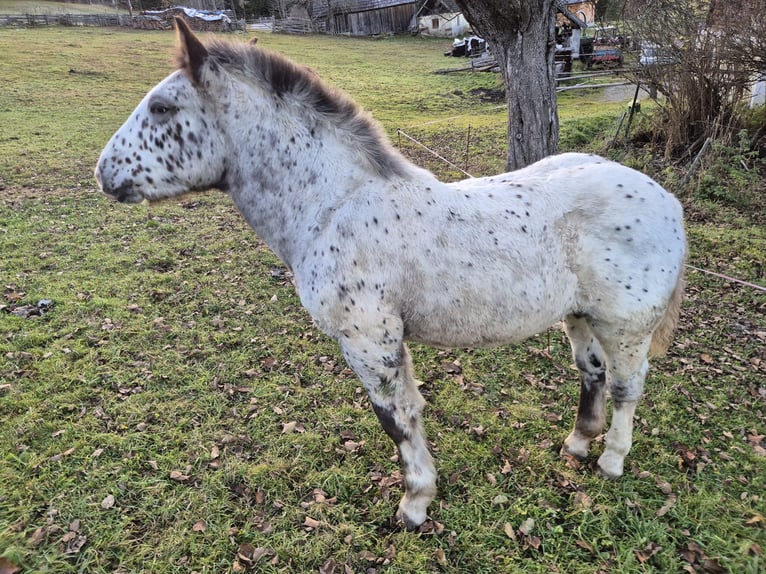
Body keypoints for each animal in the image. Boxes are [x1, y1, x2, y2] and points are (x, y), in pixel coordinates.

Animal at [95, 18, 686, 530]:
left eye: (162, 107)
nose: (104, 173)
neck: (335, 206)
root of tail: (666, 200)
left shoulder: (368, 341)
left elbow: (395, 418)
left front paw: (415, 504)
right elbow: (409, 410)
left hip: (624, 326)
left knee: (627, 386)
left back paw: (611, 462)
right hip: (579, 315)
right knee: (592, 375)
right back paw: (577, 445)